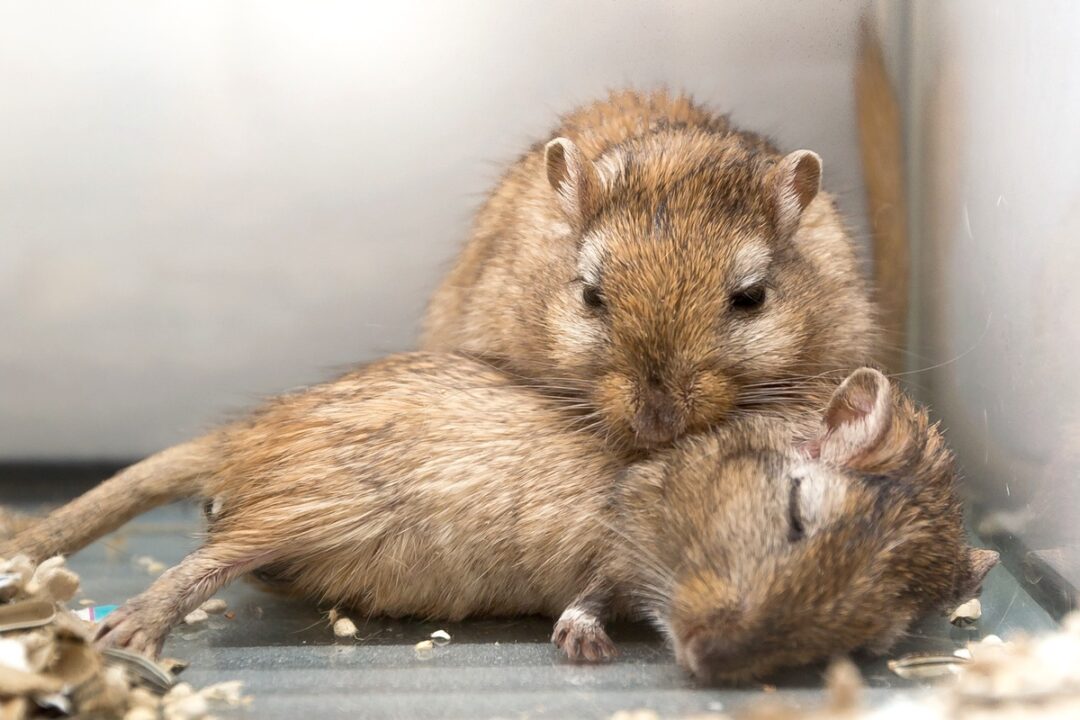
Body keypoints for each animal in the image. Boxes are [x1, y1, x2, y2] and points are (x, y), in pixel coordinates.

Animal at [1, 354, 994, 681]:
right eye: (794, 512)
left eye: (869, 635)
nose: (708, 663)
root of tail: (239, 438)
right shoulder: (615, 539)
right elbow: (593, 590)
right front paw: (585, 644)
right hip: (322, 505)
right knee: (208, 557)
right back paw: (132, 628)